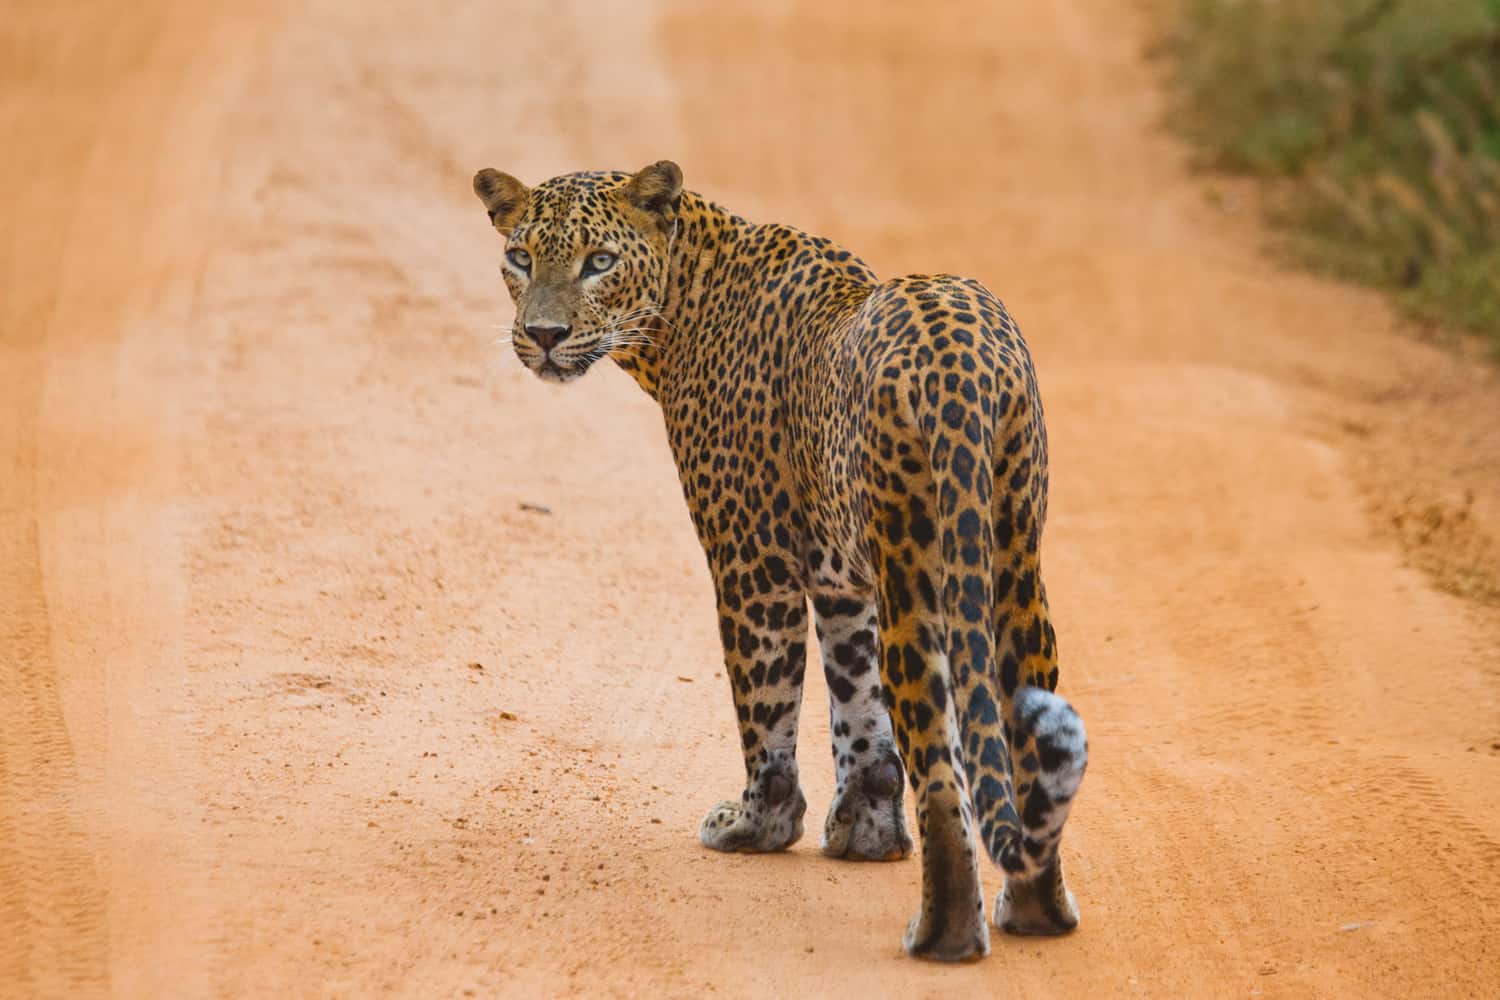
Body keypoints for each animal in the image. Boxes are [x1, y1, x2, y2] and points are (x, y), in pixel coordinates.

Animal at [474, 158, 1086, 959]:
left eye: (598, 262)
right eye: (520, 257)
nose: (545, 335)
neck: (683, 301)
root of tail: (962, 370)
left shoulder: (752, 559)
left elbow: (765, 702)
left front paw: (758, 825)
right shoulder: (840, 578)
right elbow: (857, 708)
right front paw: (866, 834)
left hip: (916, 574)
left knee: (939, 759)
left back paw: (944, 934)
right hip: (1014, 560)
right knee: (1024, 735)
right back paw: (1036, 910)